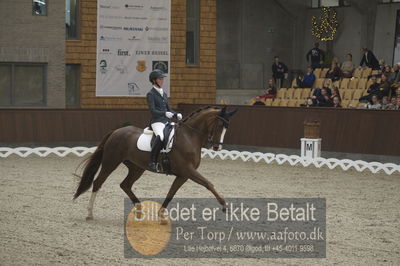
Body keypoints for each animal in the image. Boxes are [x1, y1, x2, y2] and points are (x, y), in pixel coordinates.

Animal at [73, 106, 236, 220]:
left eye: (227, 128)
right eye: (219, 125)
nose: (217, 147)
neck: (189, 137)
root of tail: (116, 131)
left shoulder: (183, 175)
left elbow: (171, 193)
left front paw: (161, 215)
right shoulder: (188, 171)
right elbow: (208, 184)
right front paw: (225, 205)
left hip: (137, 168)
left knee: (125, 185)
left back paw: (139, 210)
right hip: (111, 163)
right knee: (98, 182)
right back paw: (89, 214)